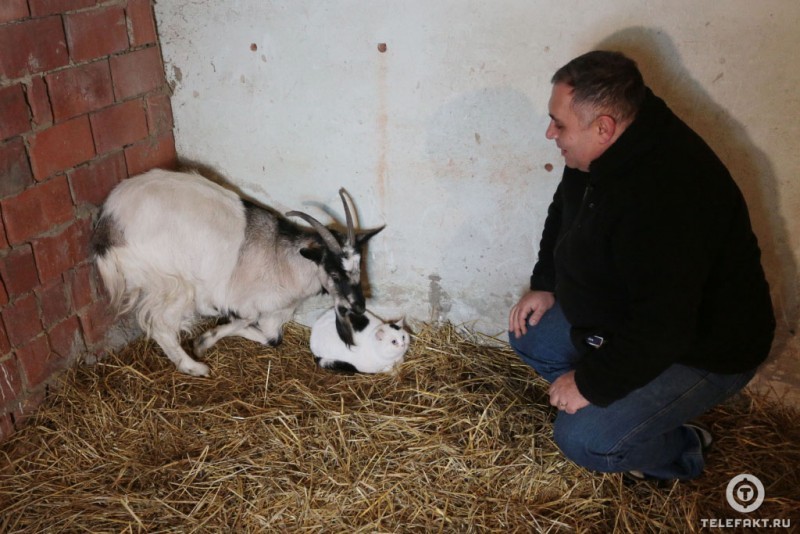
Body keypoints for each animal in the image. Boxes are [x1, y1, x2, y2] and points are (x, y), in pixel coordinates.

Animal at [92, 171, 382, 376]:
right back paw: (194, 367)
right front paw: (203, 341)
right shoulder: (242, 300)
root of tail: (107, 227)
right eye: (333, 271)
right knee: (161, 326)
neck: (283, 258)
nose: (359, 306)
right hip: (172, 283)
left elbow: (272, 339)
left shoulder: (274, 313)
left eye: (359, 266)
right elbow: (246, 319)